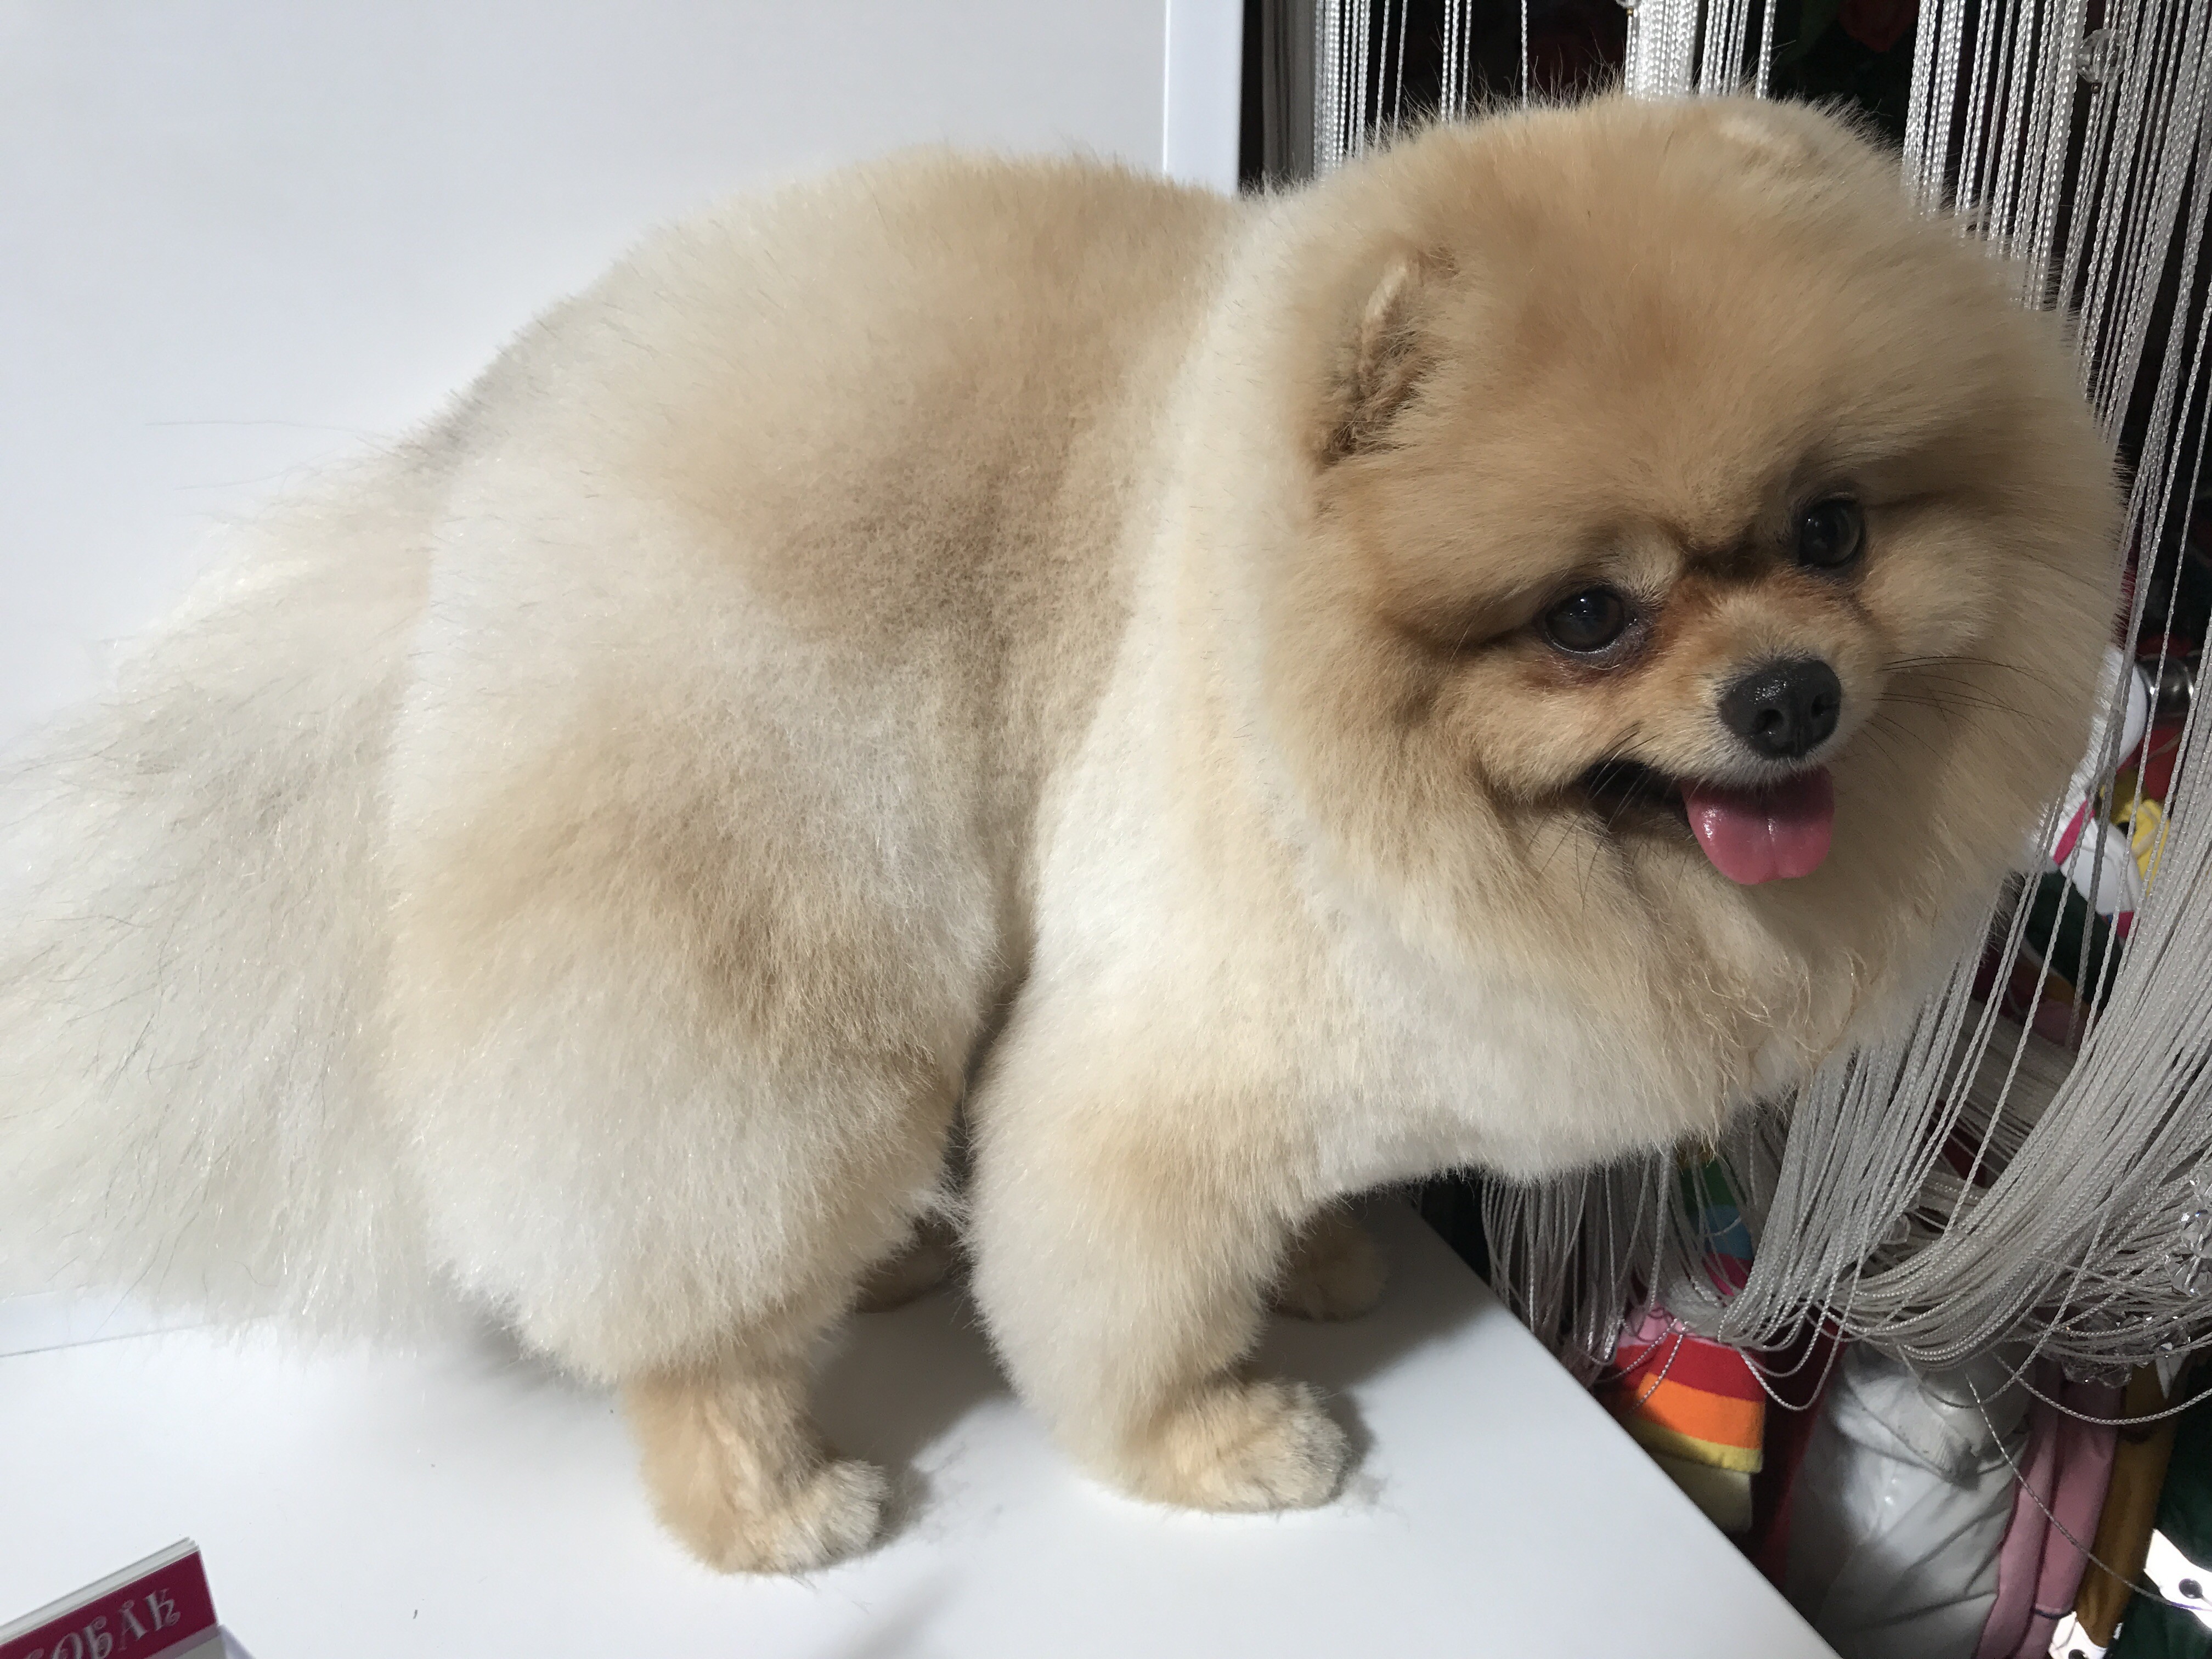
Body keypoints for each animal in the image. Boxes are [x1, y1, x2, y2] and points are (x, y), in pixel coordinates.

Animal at [0, 94, 2118, 1571]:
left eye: (1835, 530)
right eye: (1590, 615)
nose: (1789, 696)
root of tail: (489, 453)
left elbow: (1328, 1167)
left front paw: (1330, 1262)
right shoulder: (1179, 1033)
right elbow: (1128, 1281)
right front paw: (1218, 1437)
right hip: (788, 931)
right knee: (699, 1245)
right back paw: (768, 1495)